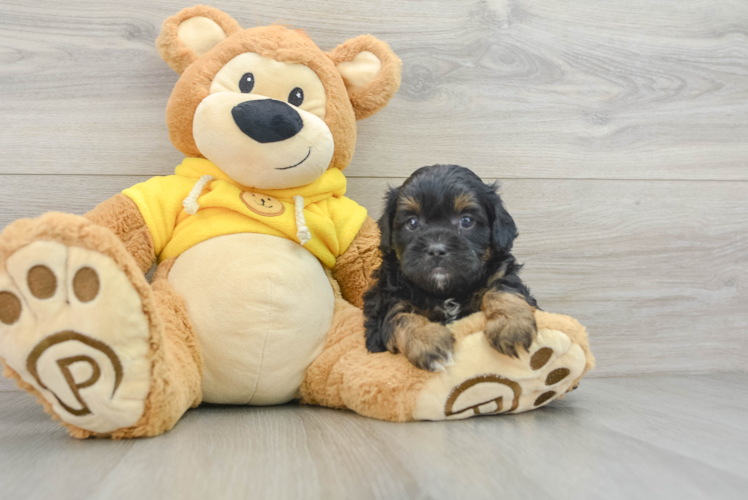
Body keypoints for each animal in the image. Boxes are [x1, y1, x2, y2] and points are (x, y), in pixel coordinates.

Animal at [364, 165, 536, 372]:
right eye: (412, 222)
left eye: (466, 220)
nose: (436, 250)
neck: (446, 292)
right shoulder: (390, 297)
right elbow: (400, 316)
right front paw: (427, 341)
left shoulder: (501, 271)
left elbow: (503, 288)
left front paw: (512, 326)